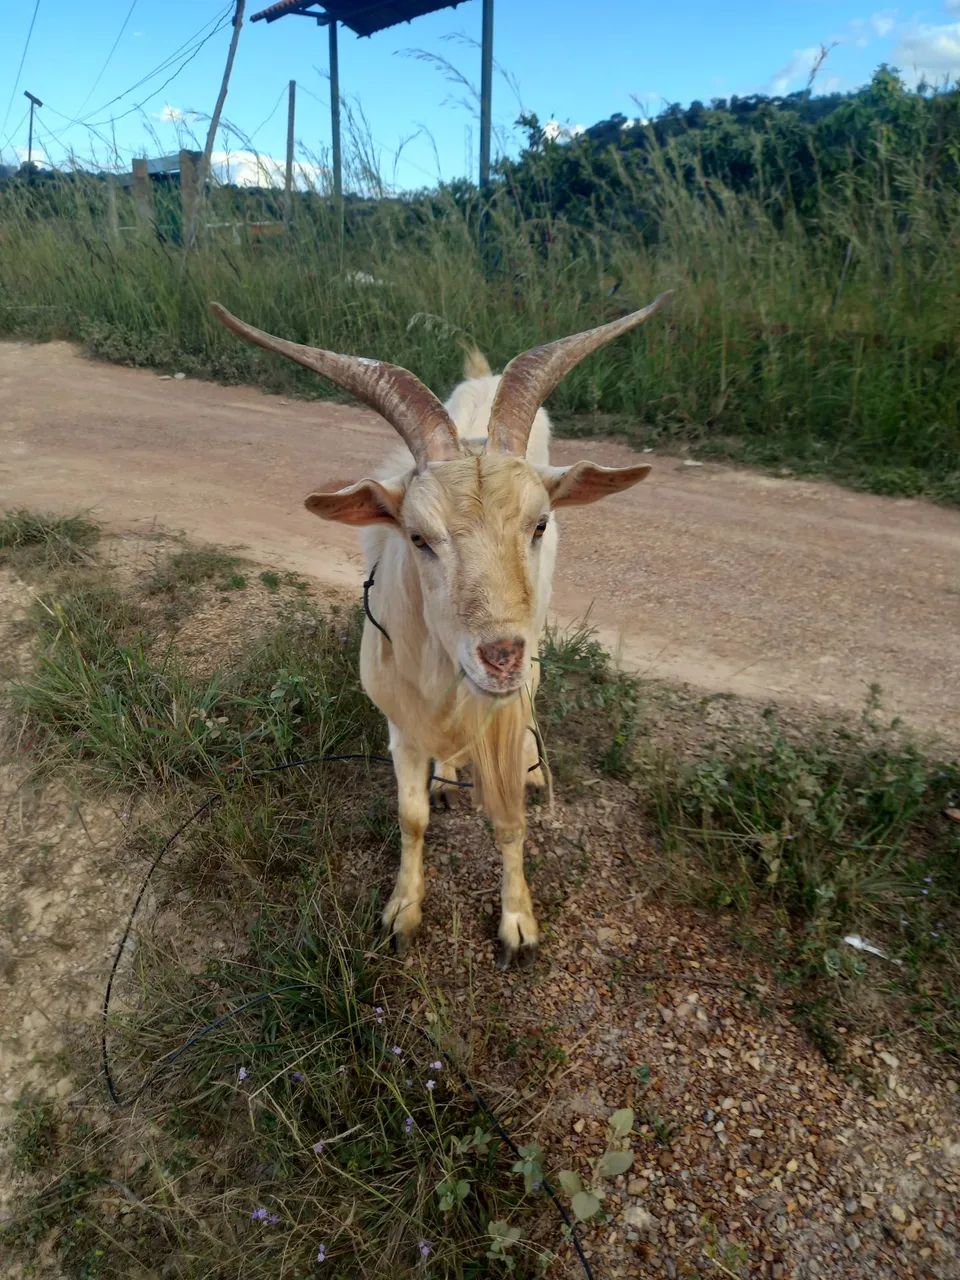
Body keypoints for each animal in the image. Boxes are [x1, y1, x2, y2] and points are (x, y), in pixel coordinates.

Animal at [212, 294, 672, 967]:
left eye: (538, 524)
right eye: (419, 537)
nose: (501, 656)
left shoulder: (505, 705)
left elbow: (508, 817)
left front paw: (517, 925)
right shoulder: (401, 720)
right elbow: (411, 816)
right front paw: (402, 913)